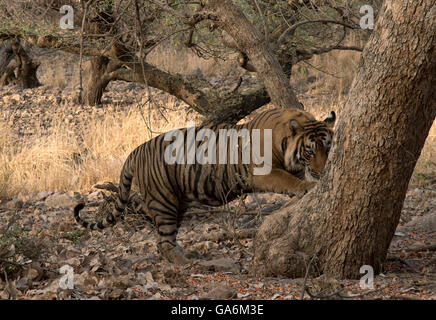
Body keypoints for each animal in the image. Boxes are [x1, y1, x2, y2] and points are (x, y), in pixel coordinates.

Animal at [74, 109, 334, 264]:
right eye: (310, 151)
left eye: (328, 147)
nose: (322, 171)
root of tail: (135, 151)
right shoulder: (264, 172)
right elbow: (288, 180)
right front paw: (307, 187)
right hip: (164, 201)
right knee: (163, 242)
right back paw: (185, 262)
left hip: (176, 203)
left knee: (167, 239)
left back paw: (187, 253)